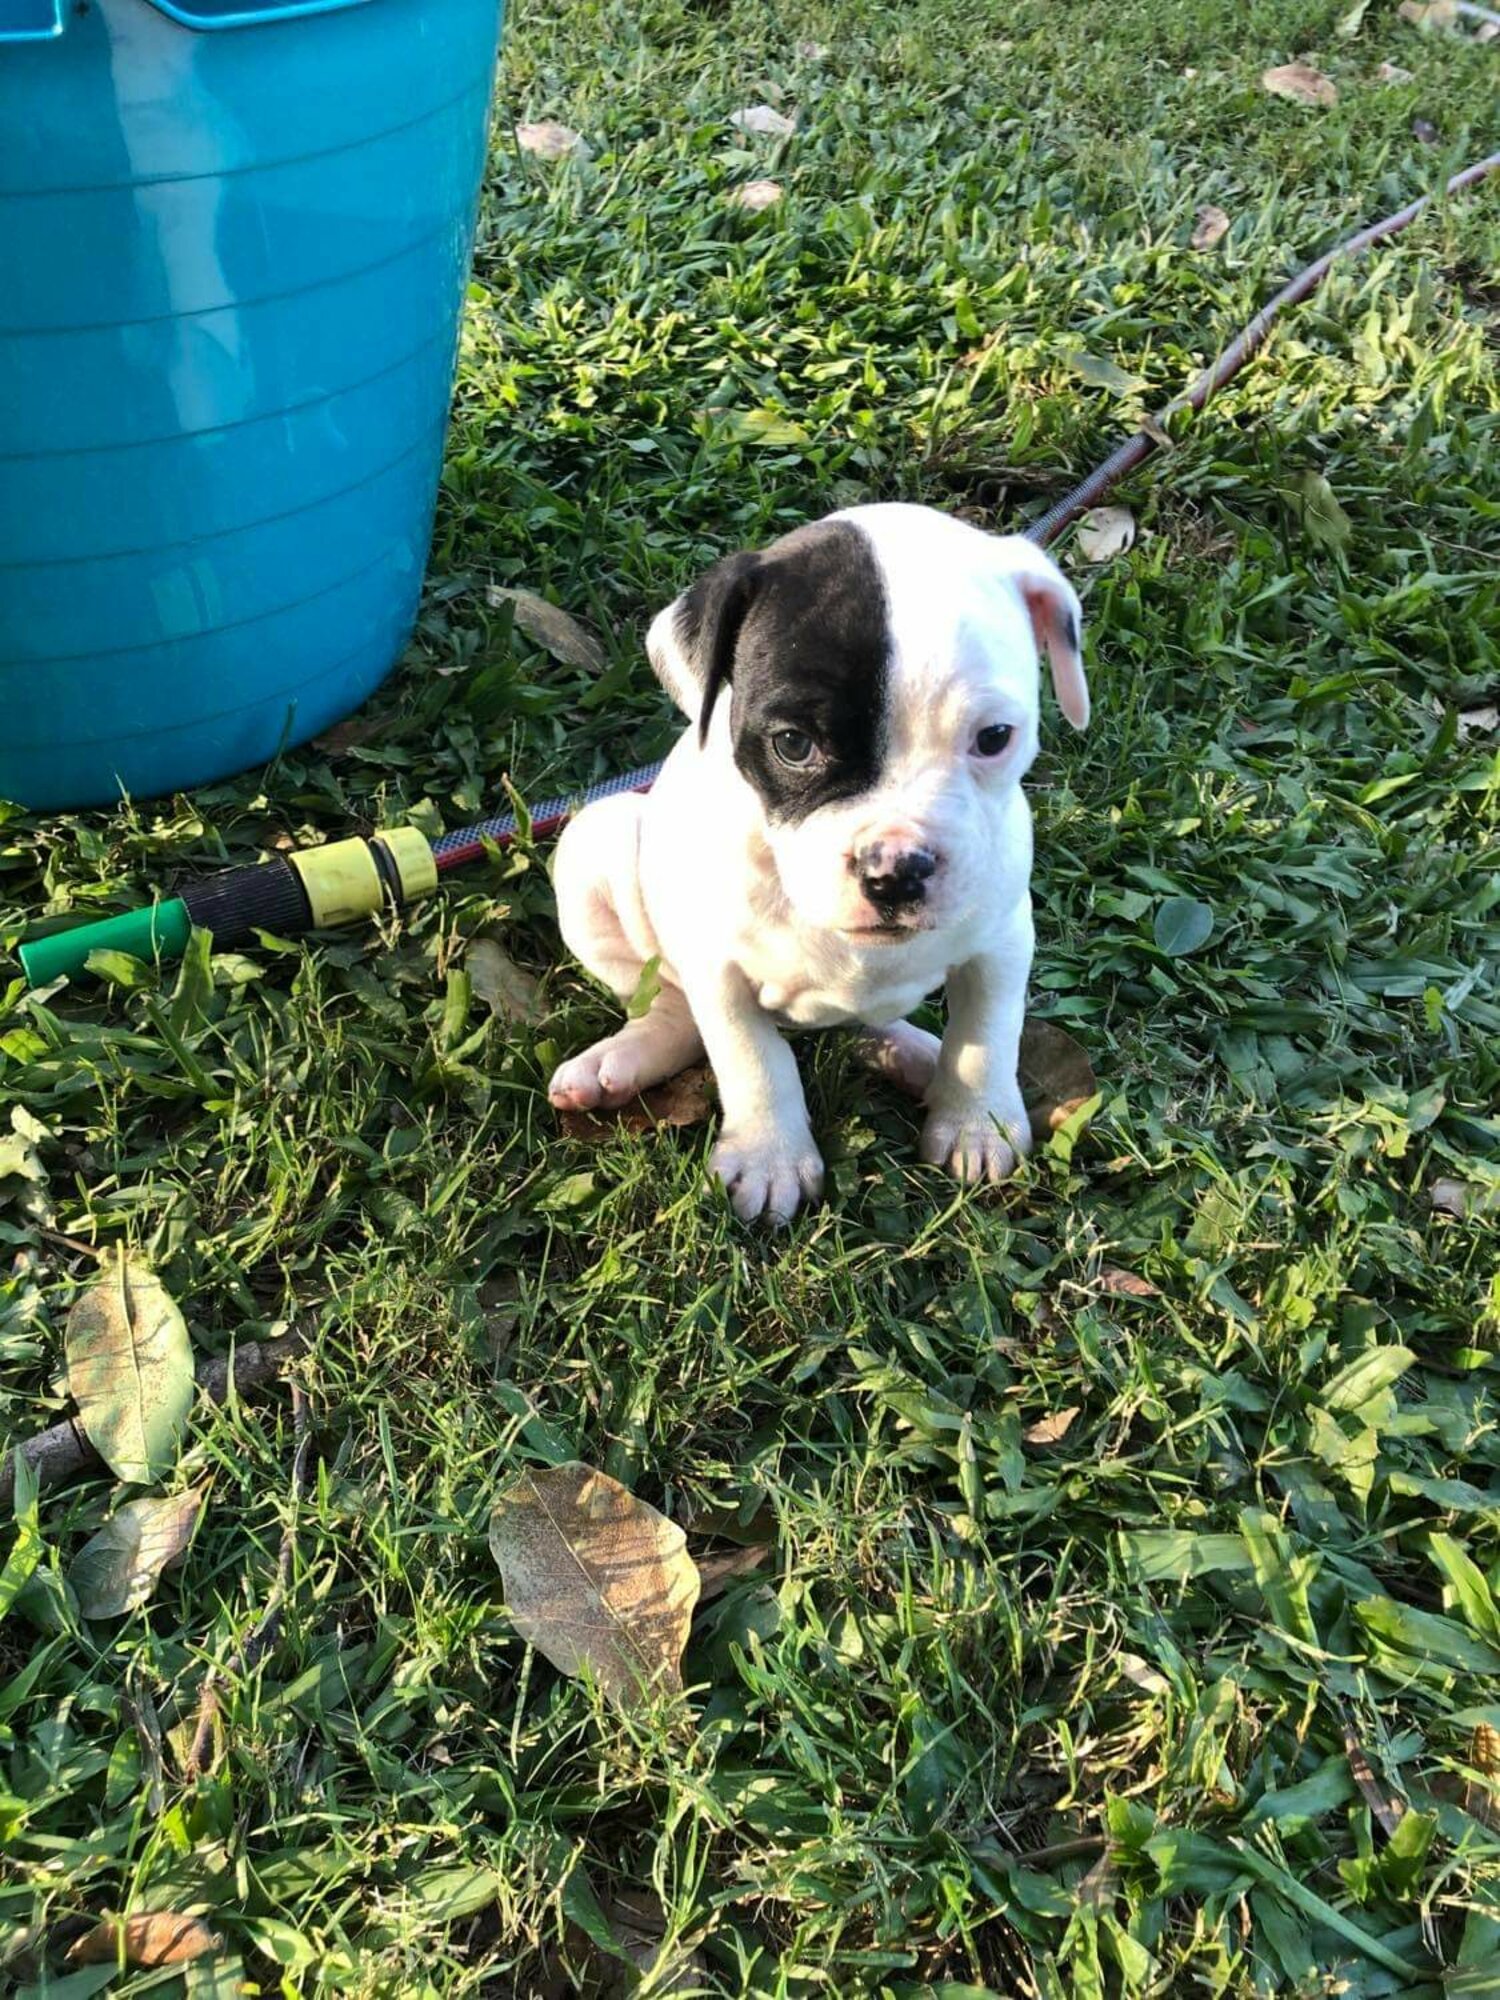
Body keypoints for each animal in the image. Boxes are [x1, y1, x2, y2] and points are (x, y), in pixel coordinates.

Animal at [548, 500, 1088, 1216]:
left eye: (995, 738)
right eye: (793, 745)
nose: (896, 870)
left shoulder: (1002, 940)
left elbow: (986, 1036)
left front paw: (977, 1122)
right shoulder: (717, 968)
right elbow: (753, 1057)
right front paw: (769, 1154)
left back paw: (913, 1054)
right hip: (597, 846)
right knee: (677, 1011)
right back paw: (621, 1062)